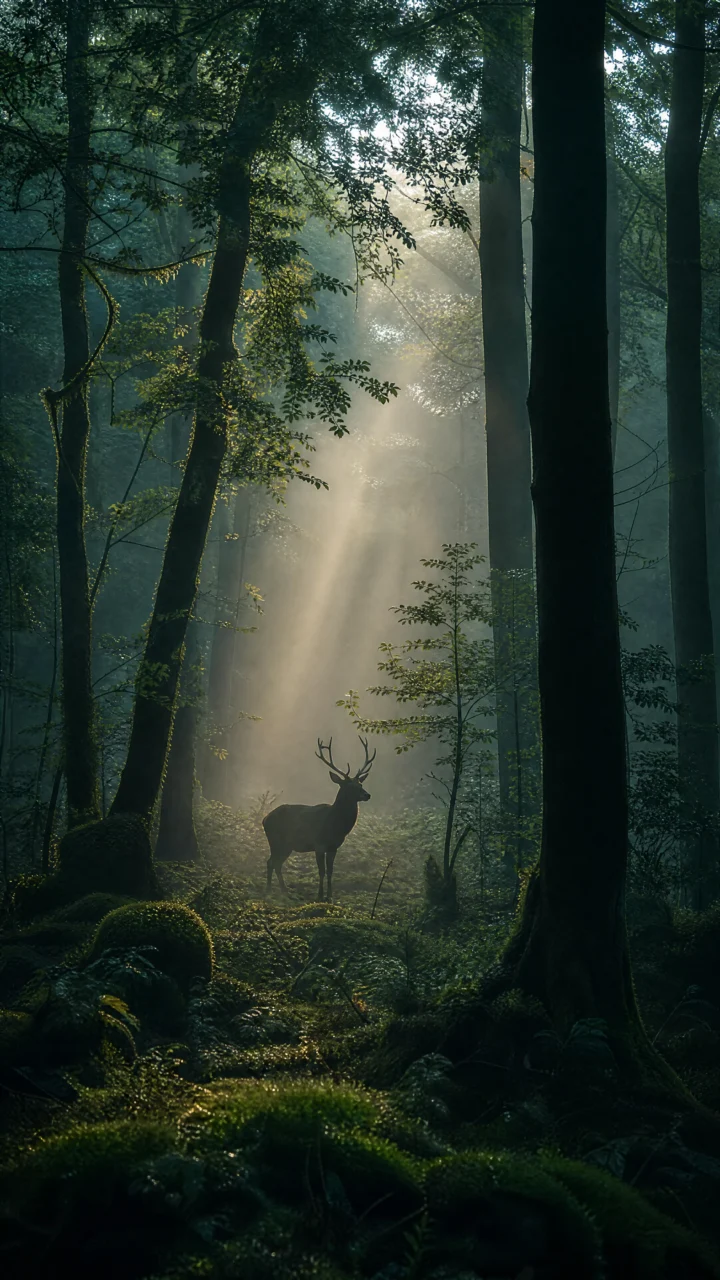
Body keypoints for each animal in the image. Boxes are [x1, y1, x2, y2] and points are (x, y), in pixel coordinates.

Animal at [262, 736, 376, 902]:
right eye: (349, 786)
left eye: (360, 784)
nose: (367, 795)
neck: (335, 826)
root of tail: (264, 819)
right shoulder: (319, 844)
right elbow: (321, 871)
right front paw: (319, 895)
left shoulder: (334, 847)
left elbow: (330, 871)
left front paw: (330, 896)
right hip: (276, 840)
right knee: (271, 862)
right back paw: (269, 890)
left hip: (286, 845)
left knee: (276, 863)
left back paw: (284, 891)